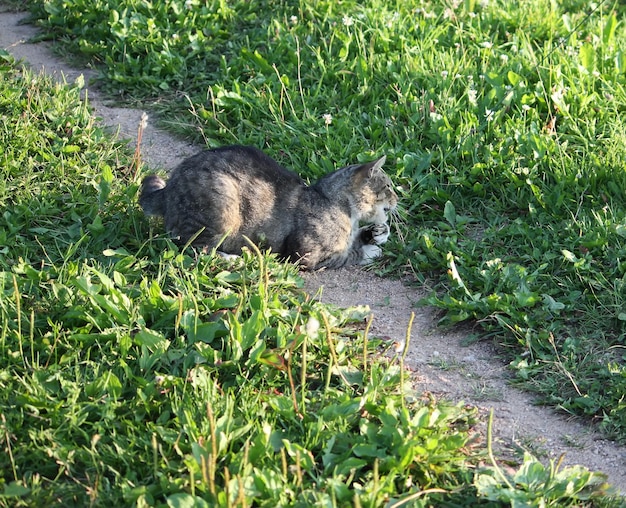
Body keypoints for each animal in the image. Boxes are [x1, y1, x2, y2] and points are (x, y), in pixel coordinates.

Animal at [140, 145, 398, 270]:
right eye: (388, 186)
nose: (397, 199)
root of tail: (168, 190)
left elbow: (357, 240)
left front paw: (377, 233)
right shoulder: (305, 256)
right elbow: (348, 255)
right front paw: (370, 250)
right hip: (223, 208)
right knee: (193, 250)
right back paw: (233, 259)